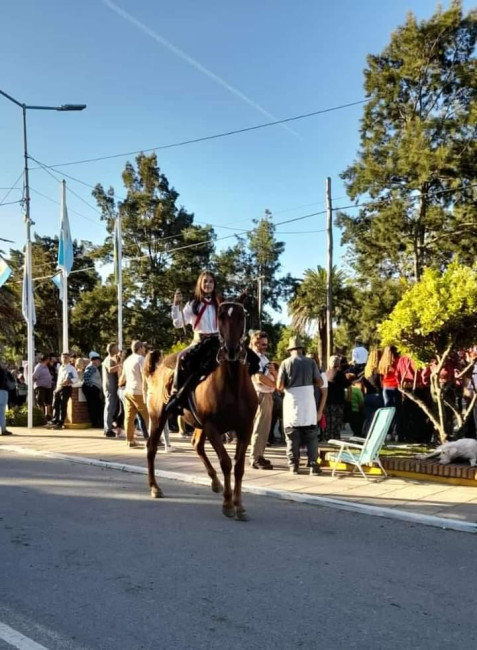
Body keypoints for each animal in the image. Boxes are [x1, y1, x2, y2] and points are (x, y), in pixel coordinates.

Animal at [144, 302, 258, 520]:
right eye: (221, 317)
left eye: (241, 316)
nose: (231, 350)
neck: (232, 385)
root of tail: (156, 370)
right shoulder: (212, 427)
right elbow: (226, 462)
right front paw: (228, 504)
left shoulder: (245, 428)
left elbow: (239, 466)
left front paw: (239, 505)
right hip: (158, 417)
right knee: (151, 448)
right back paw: (154, 487)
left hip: (197, 423)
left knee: (196, 445)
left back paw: (215, 482)